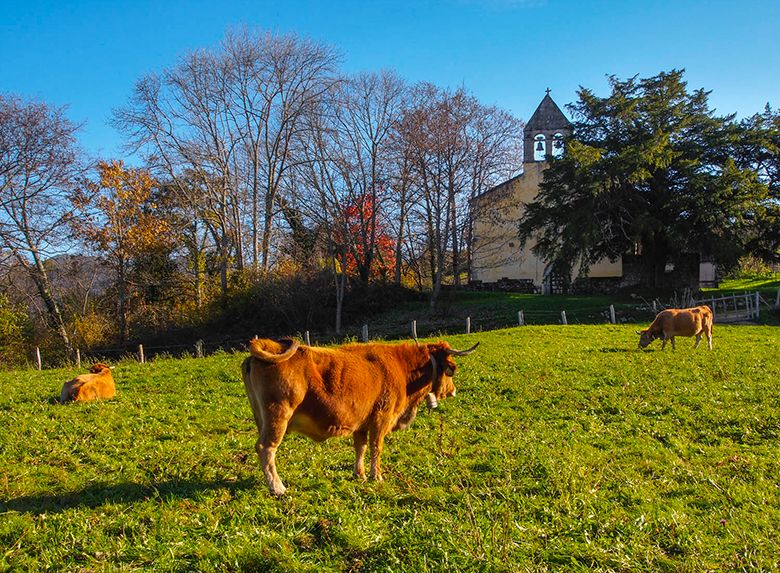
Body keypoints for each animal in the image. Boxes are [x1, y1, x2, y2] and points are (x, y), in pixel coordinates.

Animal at [241, 338, 478, 494]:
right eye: (451, 370)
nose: (453, 390)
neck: (402, 370)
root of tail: (269, 344)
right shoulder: (381, 419)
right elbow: (376, 448)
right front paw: (376, 476)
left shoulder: (362, 424)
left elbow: (361, 448)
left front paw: (360, 474)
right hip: (278, 416)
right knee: (266, 448)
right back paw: (277, 487)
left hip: (262, 418)